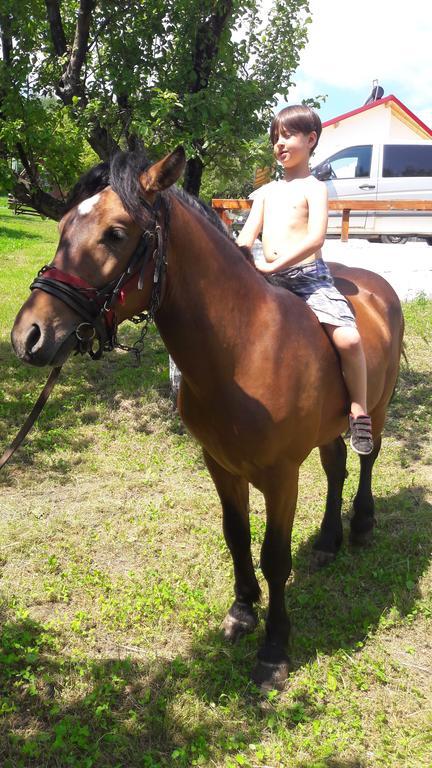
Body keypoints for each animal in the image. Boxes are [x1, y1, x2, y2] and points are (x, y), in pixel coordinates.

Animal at [11, 148, 404, 688]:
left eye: (115, 233)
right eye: (65, 224)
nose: (29, 336)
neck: (245, 346)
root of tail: (379, 285)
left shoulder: (281, 476)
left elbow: (274, 557)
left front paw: (274, 650)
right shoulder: (220, 465)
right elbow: (236, 537)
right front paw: (242, 611)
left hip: (376, 408)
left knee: (365, 460)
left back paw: (361, 525)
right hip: (328, 428)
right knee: (336, 468)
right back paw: (328, 541)